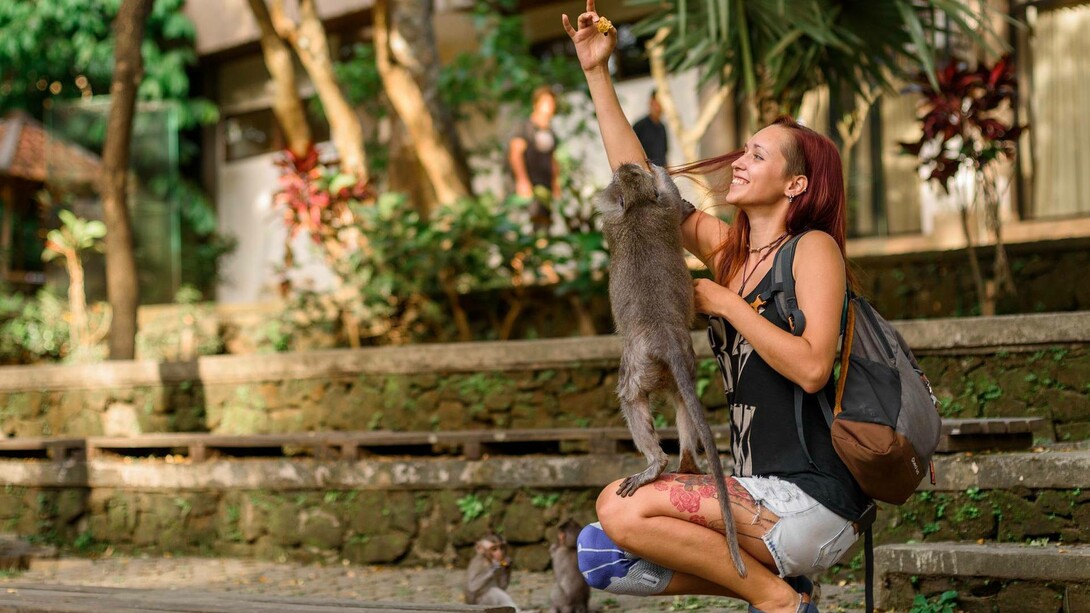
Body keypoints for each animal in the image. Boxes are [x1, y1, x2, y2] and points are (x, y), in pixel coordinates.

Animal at [595, 163, 747, 578]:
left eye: (621, 175)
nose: (627, 165)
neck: (637, 208)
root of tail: (662, 335)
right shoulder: (658, 211)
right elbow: (673, 205)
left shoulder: (613, 221)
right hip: (684, 360)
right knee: (682, 399)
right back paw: (687, 461)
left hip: (638, 363)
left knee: (631, 397)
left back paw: (657, 463)